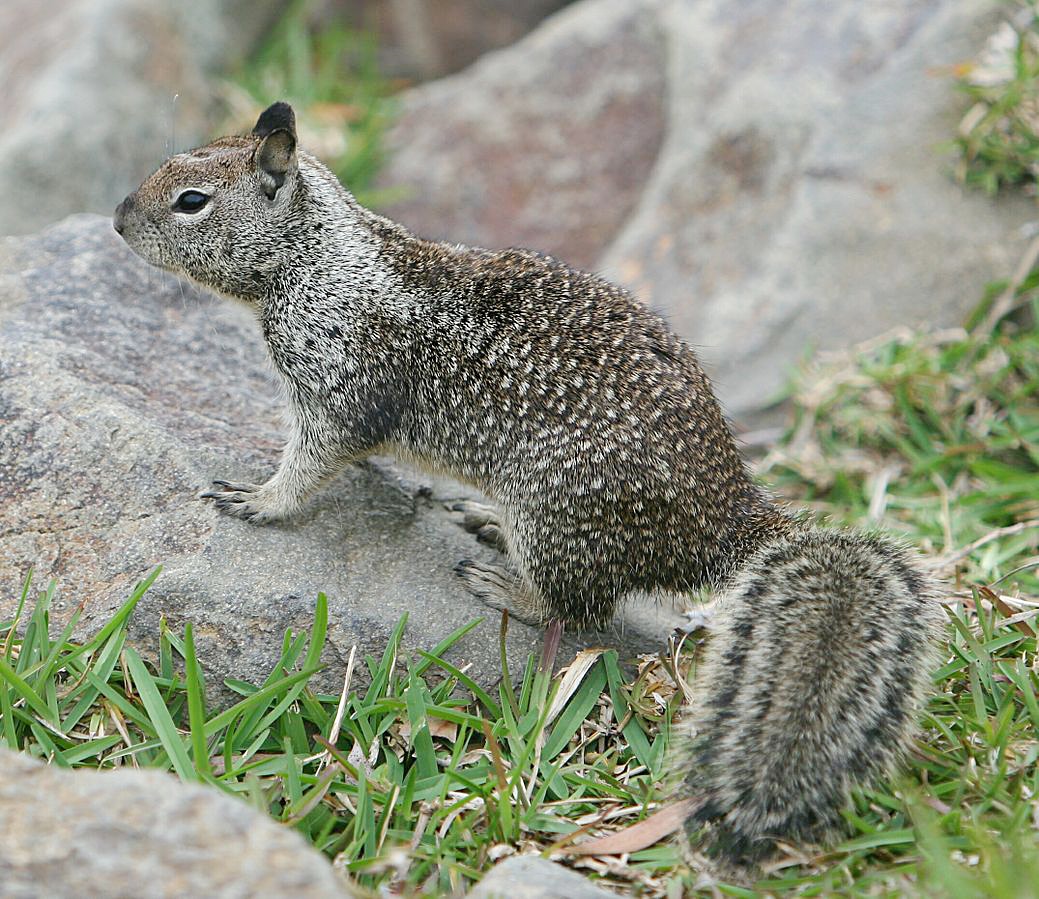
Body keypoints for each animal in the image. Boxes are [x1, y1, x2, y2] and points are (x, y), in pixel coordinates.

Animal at [113, 102, 946, 874]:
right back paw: (481, 521)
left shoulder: (341, 386)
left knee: (580, 608)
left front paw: (259, 498)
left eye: (191, 200)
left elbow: (313, 462)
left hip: (557, 518)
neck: (321, 259)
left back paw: (503, 582)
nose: (118, 220)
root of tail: (725, 517)